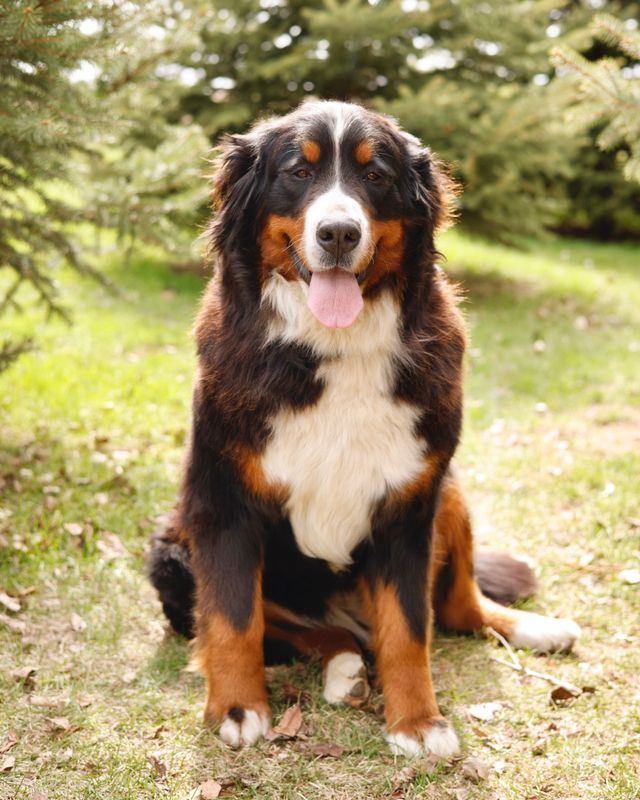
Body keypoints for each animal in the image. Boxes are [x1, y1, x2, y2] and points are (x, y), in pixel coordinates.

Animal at [149, 98, 580, 756]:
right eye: (298, 173)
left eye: (375, 176)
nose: (338, 233)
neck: (334, 349)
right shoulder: (221, 500)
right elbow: (232, 617)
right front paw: (237, 707)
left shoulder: (408, 504)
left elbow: (408, 627)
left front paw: (418, 721)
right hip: (172, 554)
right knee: (299, 627)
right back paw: (344, 664)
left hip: (449, 492)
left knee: (458, 609)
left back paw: (533, 627)